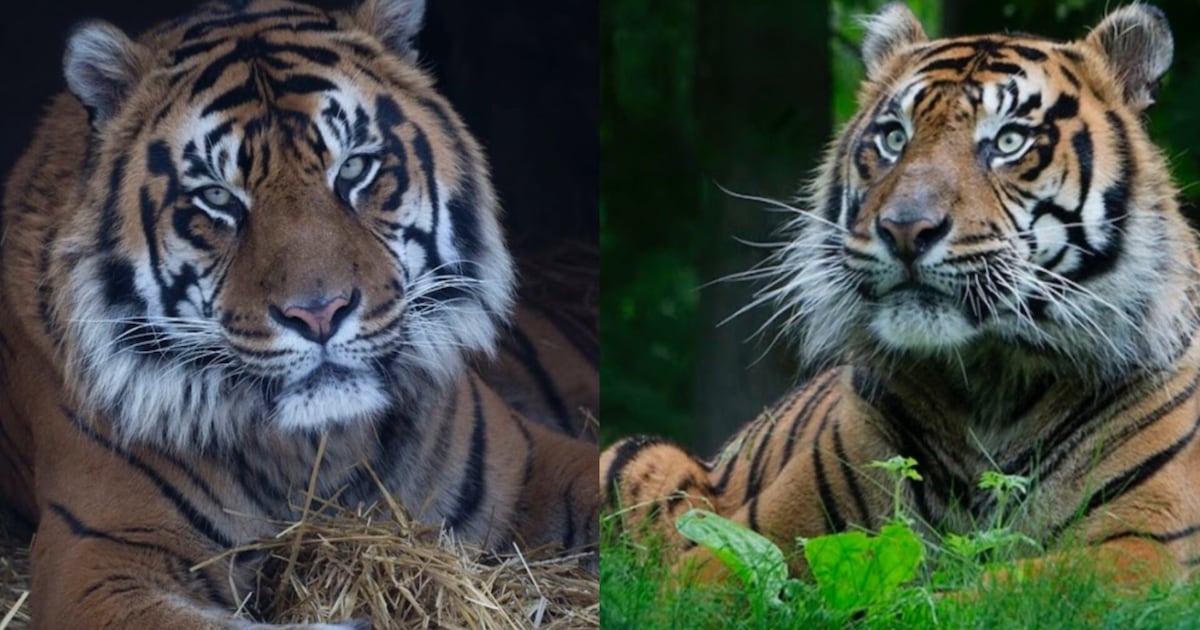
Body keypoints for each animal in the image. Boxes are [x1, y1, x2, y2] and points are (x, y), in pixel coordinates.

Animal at [0, 0, 599, 627]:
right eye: (218, 197)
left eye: (354, 169)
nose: (319, 314)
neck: (319, 451)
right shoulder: (99, 559)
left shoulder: (534, 463)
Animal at [602, 2, 1200, 587]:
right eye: (894, 139)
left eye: (1010, 141)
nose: (905, 229)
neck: (991, 384)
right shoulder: (750, 539)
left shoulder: (1142, 547)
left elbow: (984, 591)